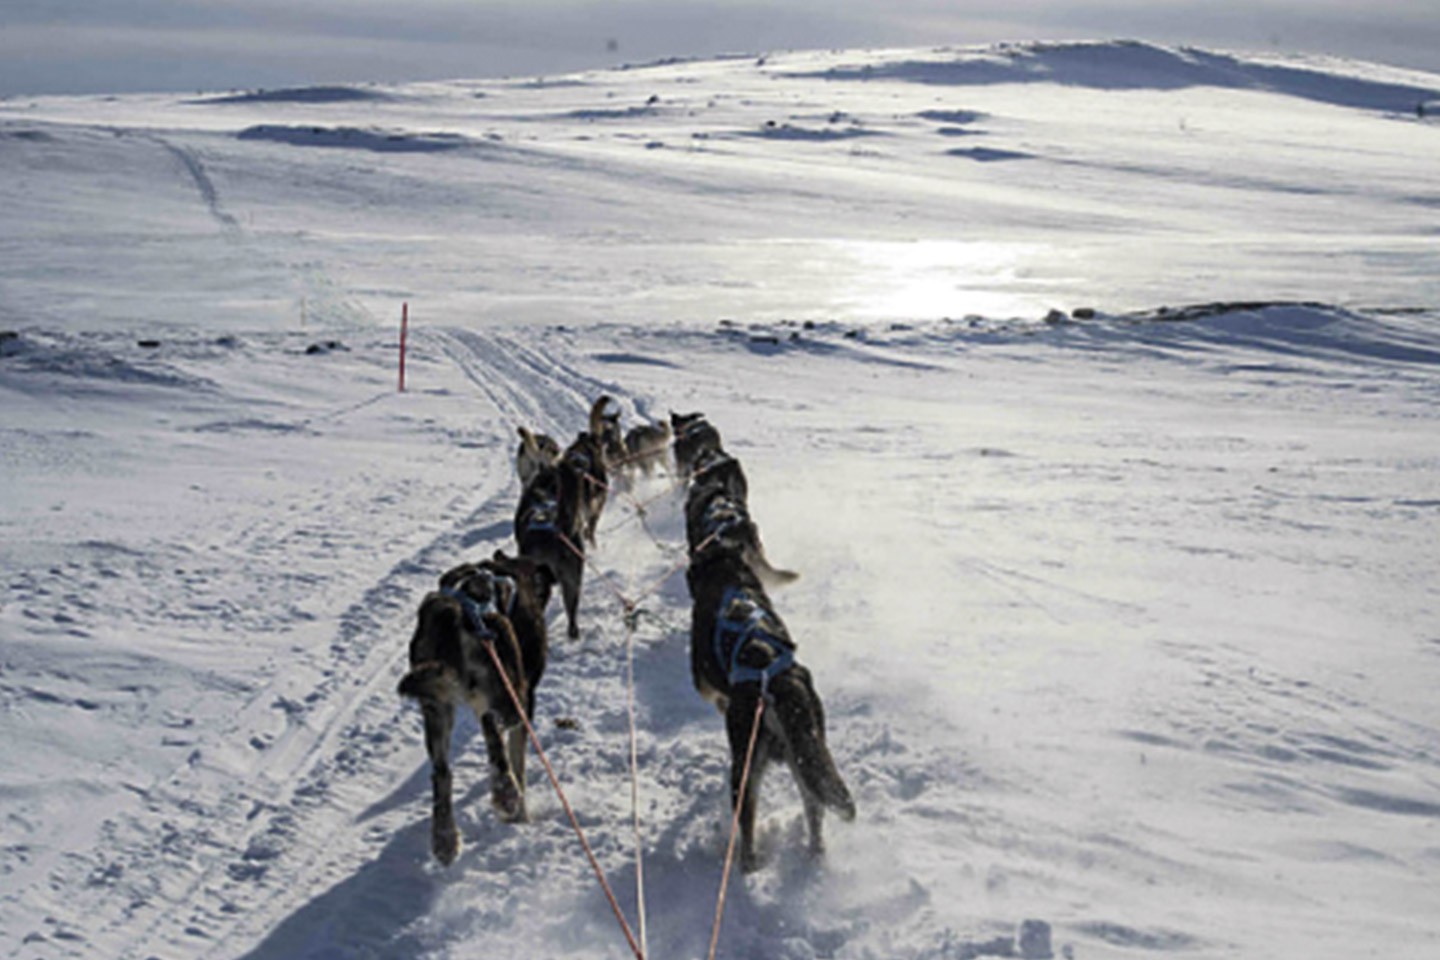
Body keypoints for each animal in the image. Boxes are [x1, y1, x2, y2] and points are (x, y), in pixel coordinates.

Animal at [397, 552, 552, 869]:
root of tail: (456, 613)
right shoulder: (524, 704)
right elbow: (517, 760)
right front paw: (521, 815)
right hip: (508, 695)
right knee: (493, 731)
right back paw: (506, 793)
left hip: (437, 707)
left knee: (442, 773)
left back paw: (444, 839)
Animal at [688, 541, 852, 869]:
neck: (727, 573)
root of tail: (776, 680)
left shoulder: (705, 684)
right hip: (806, 755)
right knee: (814, 805)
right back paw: (814, 852)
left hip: (746, 769)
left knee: (747, 831)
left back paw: (746, 865)